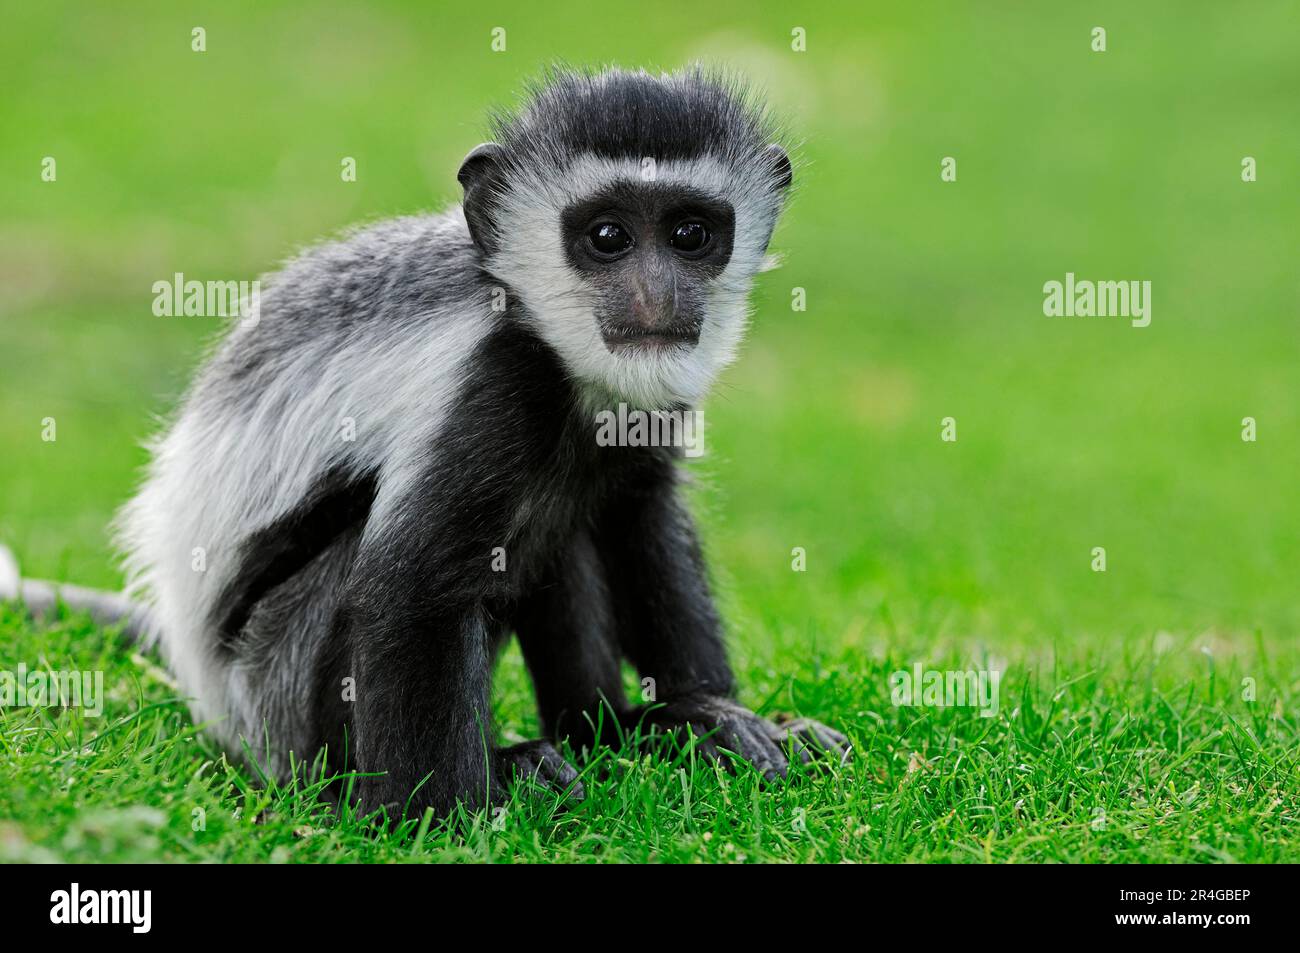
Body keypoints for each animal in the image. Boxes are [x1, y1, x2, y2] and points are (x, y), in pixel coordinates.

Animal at [5, 66, 852, 821]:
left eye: (691, 234)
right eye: (608, 237)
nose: (658, 296)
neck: (553, 349)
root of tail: (211, 689)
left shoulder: (649, 415)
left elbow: (641, 521)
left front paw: (714, 714)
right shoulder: (486, 392)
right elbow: (411, 591)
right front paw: (442, 819)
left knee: (564, 524)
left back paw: (615, 733)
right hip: (277, 689)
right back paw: (485, 773)